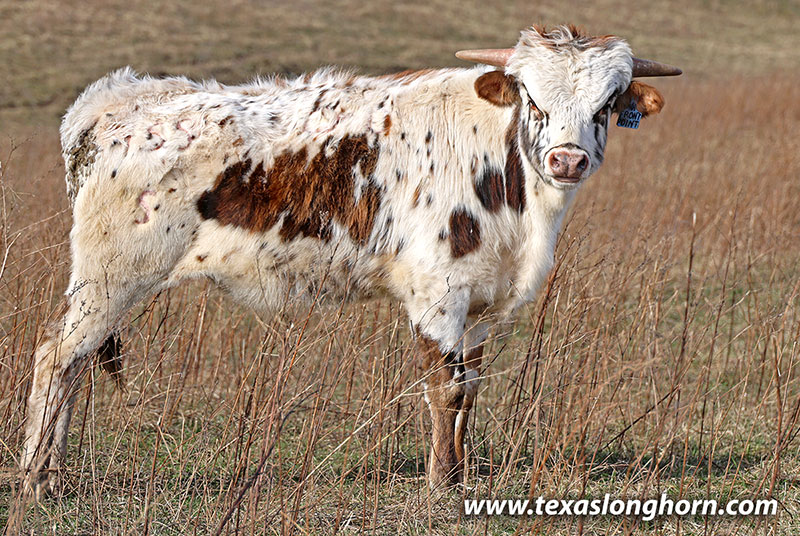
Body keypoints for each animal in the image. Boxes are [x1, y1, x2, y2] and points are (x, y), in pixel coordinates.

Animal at [21, 24, 680, 495]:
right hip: (111, 277)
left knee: (72, 364)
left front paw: (463, 474)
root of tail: (115, 100)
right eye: (531, 96)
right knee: (57, 355)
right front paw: (442, 485)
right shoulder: (437, 293)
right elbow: (444, 389)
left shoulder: (480, 301)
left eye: (608, 102)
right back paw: (35, 479)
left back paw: (53, 472)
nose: (568, 159)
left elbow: (470, 389)